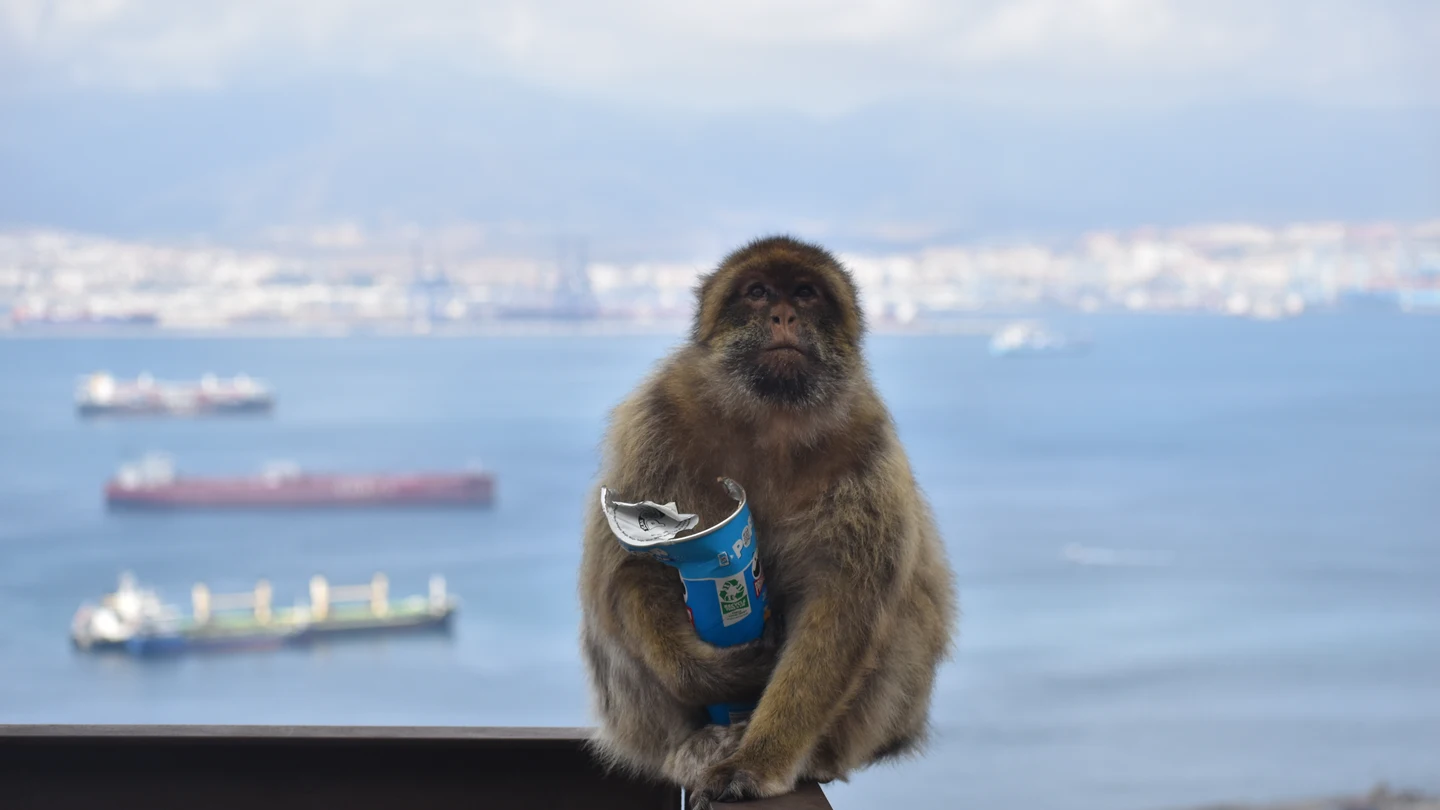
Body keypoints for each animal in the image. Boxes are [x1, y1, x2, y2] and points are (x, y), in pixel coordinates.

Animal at [579, 235, 957, 808]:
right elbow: (631, 568)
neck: (771, 419)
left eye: (805, 293)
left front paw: (758, 762)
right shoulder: (656, 418)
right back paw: (695, 744)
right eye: (757, 292)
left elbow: (843, 605)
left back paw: (811, 756)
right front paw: (713, 674)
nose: (783, 315)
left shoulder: (867, 448)